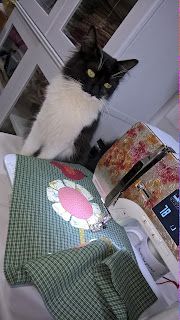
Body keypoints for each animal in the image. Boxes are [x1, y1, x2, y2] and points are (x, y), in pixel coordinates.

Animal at [21, 26, 139, 164]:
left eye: (107, 85)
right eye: (91, 73)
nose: (95, 91)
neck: (74, 99)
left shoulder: (62, 142)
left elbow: (43, 158)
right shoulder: (40, 123)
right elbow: (28, 148)